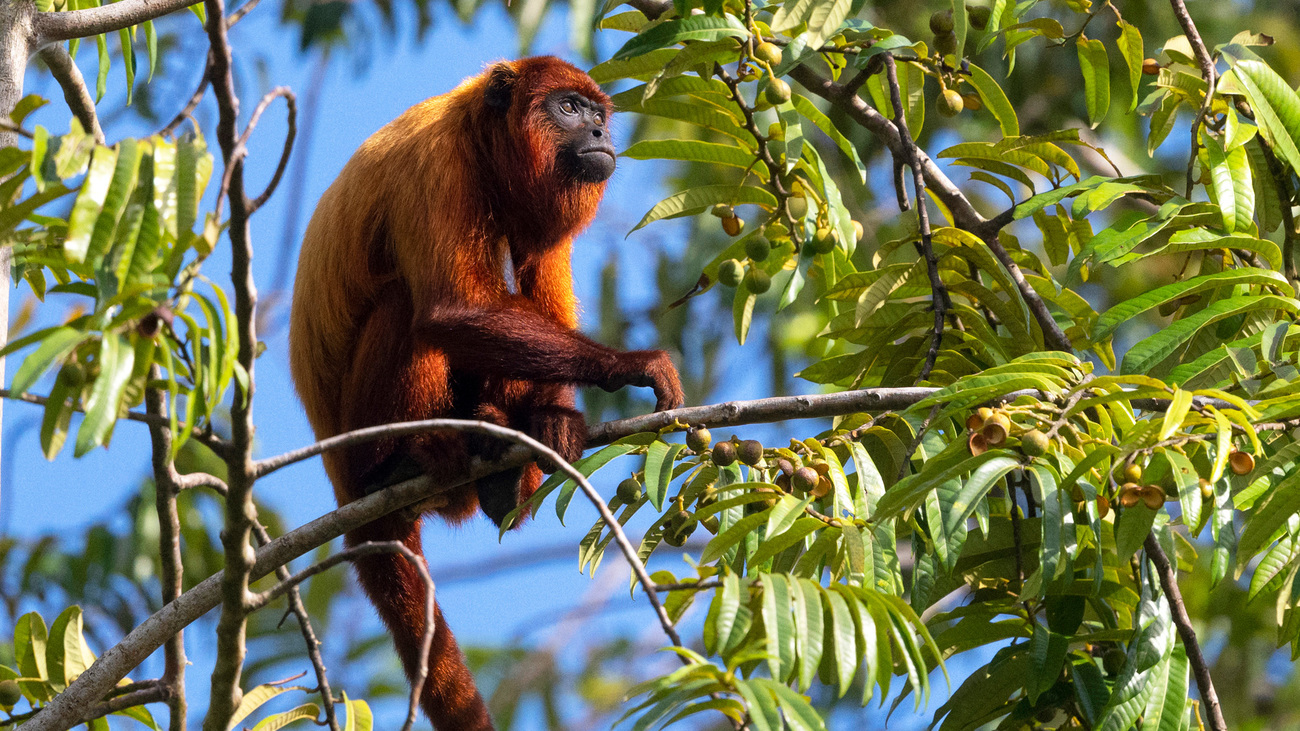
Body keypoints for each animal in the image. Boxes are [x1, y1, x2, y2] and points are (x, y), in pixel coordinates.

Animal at [289, 58, 686, 728]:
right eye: (570, 108)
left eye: (599, 113)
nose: (601, 133)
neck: (482, 141)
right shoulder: (435, 162)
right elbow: (453, 310)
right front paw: (633, 364)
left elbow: (542, 298)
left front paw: (556, 418)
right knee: (407, 305)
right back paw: (410, 461)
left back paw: (504, 458)